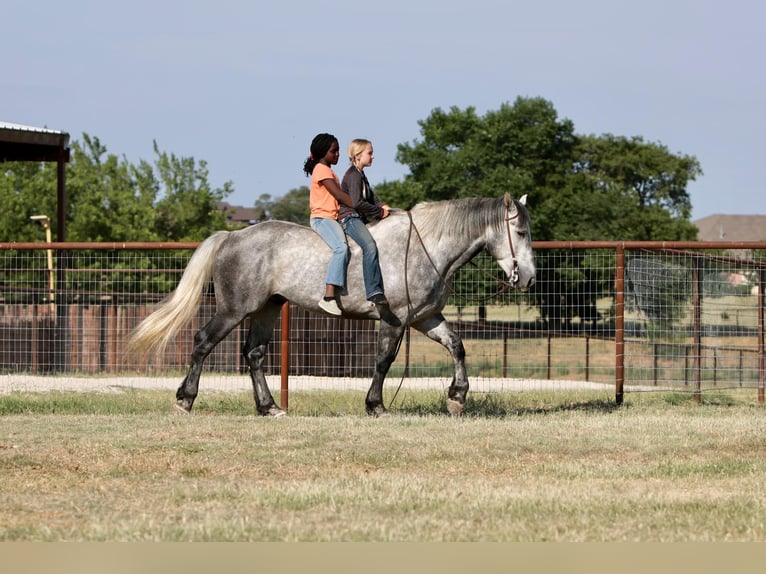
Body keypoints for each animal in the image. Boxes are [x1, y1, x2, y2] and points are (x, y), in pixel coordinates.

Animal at [127, 194, 536, 418]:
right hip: (234, 310)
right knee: (203, 342)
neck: (426, 247)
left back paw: (269, 406)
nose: (529, 279)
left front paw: (457, 398)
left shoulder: (426, 318)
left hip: (267, 309)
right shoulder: (395, 319)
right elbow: (384, 361)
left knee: (254, 354)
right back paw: (185, 400)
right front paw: (375, 404)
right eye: (519, 232)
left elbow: (458, 347)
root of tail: (233, 235)